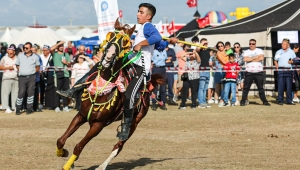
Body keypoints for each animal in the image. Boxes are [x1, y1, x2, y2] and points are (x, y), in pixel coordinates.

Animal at [56, 19, 164, 169]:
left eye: (125, 42)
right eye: (111, 36)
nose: (108, 57)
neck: (102, 89)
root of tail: (148, 86)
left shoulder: (98, 125)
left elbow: (78, 146)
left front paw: (67, 165)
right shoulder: (81, 115)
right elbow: (61, 140)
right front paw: (62, 153)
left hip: (135, 122)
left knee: (119, 145)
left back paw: (102, 166)